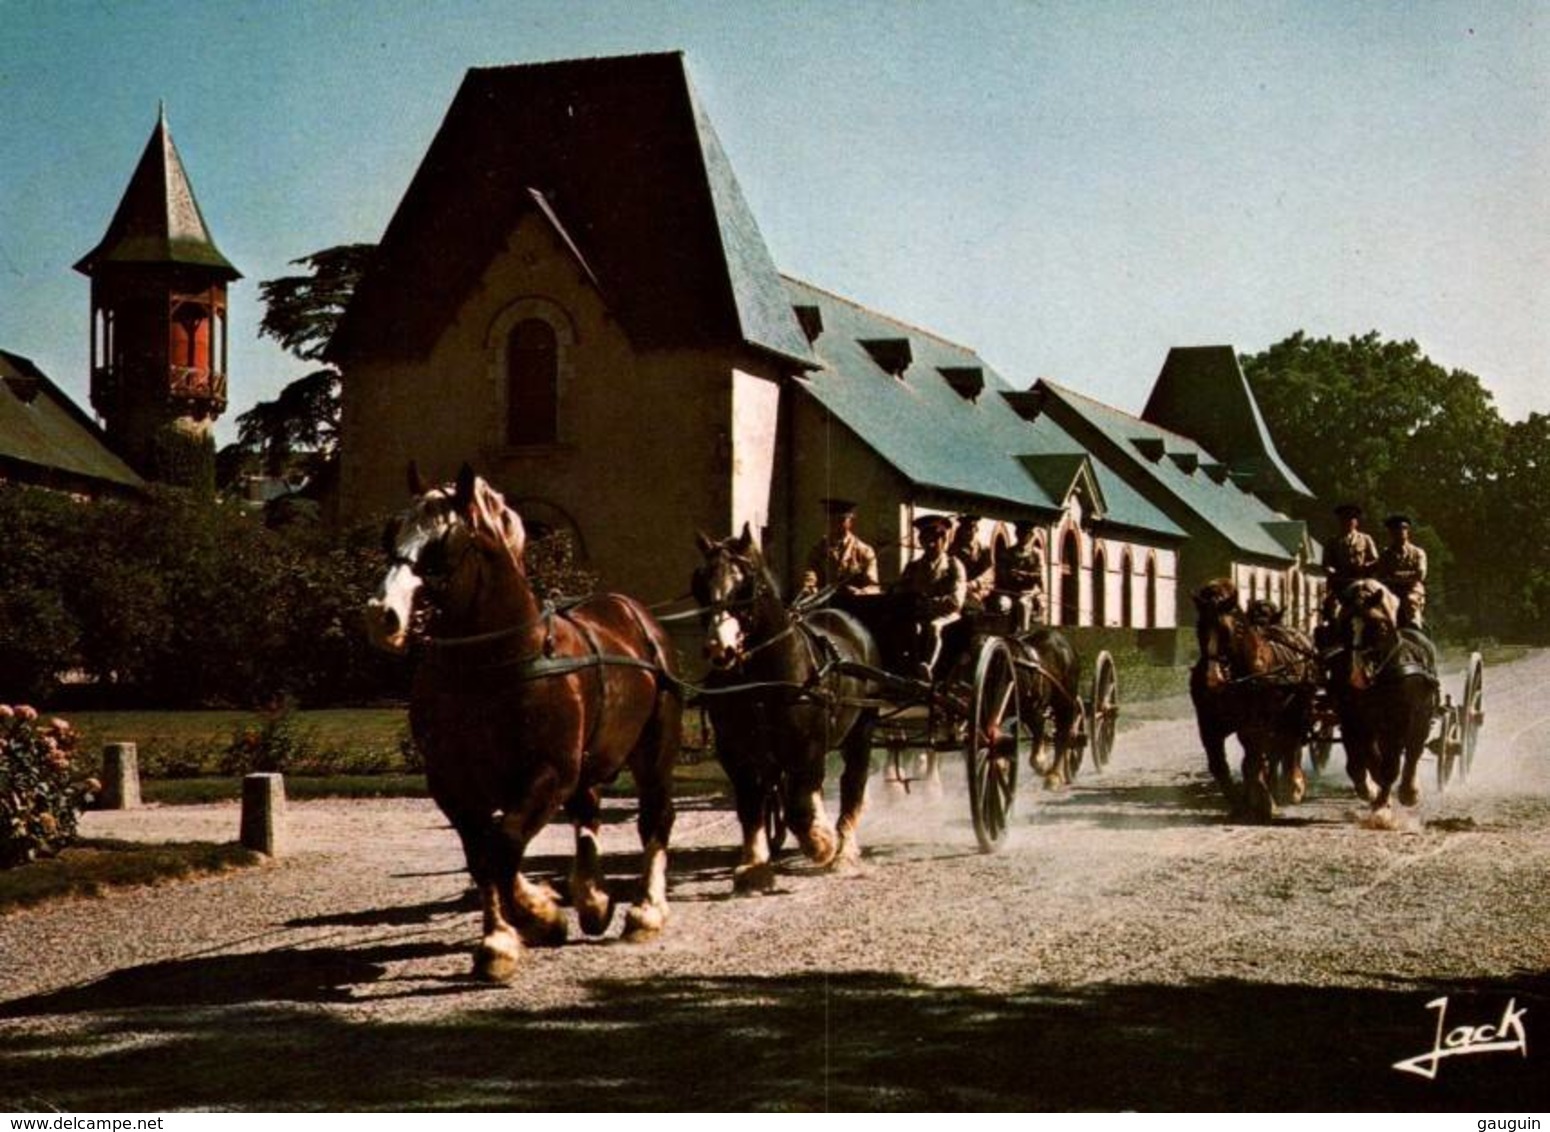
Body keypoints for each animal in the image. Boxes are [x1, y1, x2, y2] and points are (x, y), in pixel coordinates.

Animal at [365, 462, 682, 973]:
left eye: (443, 542)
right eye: (391, 532)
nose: (382, 616)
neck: (491, 667)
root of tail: (634, 614)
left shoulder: (548, 774)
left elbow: (505, 845)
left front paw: (536, 916)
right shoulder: (452, 784)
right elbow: (482, 857)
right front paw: (502, 938)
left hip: (654, 751)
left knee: (655, 817)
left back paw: (646, 912)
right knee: (587, 812)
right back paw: (591, 899)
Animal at [694, 521, 880, 893]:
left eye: (746, 584)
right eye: (701, 583)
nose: (719, 648)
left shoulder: (807, 747)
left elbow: (798, 808)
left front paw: (821, 844)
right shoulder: (735, 752)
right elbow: (751, 804)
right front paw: (754, 866)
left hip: (861, 733)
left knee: (852, 784)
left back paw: (843, 851)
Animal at [1184, 576, 1320, 818]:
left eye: (1228, 631)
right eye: (1200, 628)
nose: (1211, 680)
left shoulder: (1255, 724)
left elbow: (1253, 761)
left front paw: (1265, 802)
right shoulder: (1209, 725)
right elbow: (1220, 766)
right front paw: (1241, 803)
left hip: (1297, 709)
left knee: (1290, 744)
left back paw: (1292, 785)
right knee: (1277, 750)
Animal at [1320, 576, 1438, 818]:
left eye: (1379, 626)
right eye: (1344, 627)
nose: (1357, 676)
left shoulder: (1399, 721)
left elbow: (1391, 765)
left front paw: (1383, 804)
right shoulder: (1353, 719)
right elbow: (1364, 761)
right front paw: (1373, 793)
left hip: (1420, 717)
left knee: (1414, 751)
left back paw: (1409, 792)